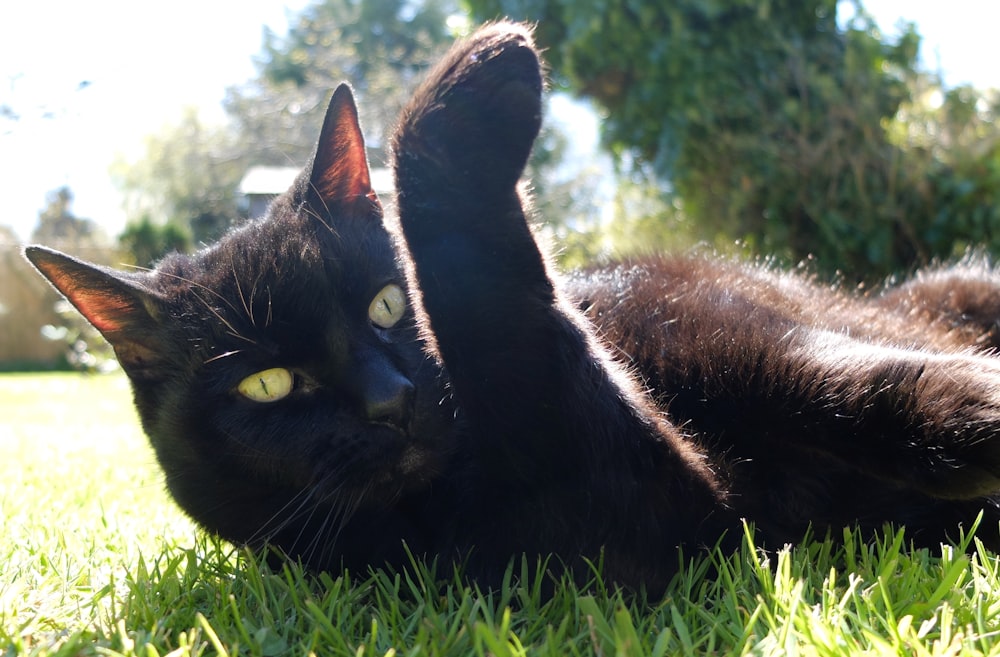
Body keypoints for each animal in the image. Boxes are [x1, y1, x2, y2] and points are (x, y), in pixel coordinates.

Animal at [23, 24, 1000, 588]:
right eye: (267, 386)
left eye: (387, 302)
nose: (391, 400)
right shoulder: (658, 520)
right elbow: (496, 312)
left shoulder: (713, 319)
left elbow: (831, 373)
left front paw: (974, 408)